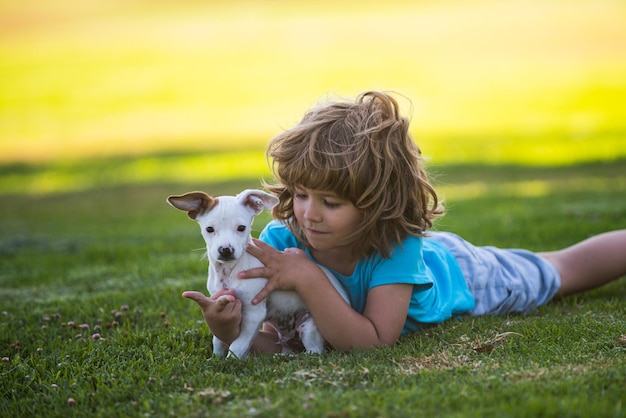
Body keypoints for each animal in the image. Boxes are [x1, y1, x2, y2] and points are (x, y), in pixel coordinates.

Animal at [168, 189, 348, 360]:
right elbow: (218, 338)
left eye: (241, 228)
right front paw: (215, 358)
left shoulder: (254, 313)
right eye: (209, 229)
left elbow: (238, 344)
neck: (230, 271)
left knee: (314, 352)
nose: (226, 250)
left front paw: (230, 361)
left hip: (309, 326)